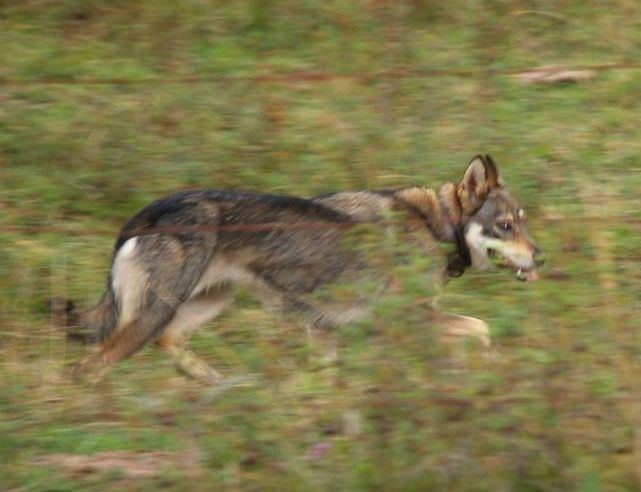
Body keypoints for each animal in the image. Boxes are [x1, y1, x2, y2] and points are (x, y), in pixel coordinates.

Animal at [51, 155, 543, 384]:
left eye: (524, 221)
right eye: (505, 226)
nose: (541, 257)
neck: (435, 224)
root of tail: (143, 215)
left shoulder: (323, 331)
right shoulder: (409, 320)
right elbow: (482, 329)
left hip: (206, 303)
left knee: (171, 343)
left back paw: (219, 387)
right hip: (152, 316)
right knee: (90, 366)